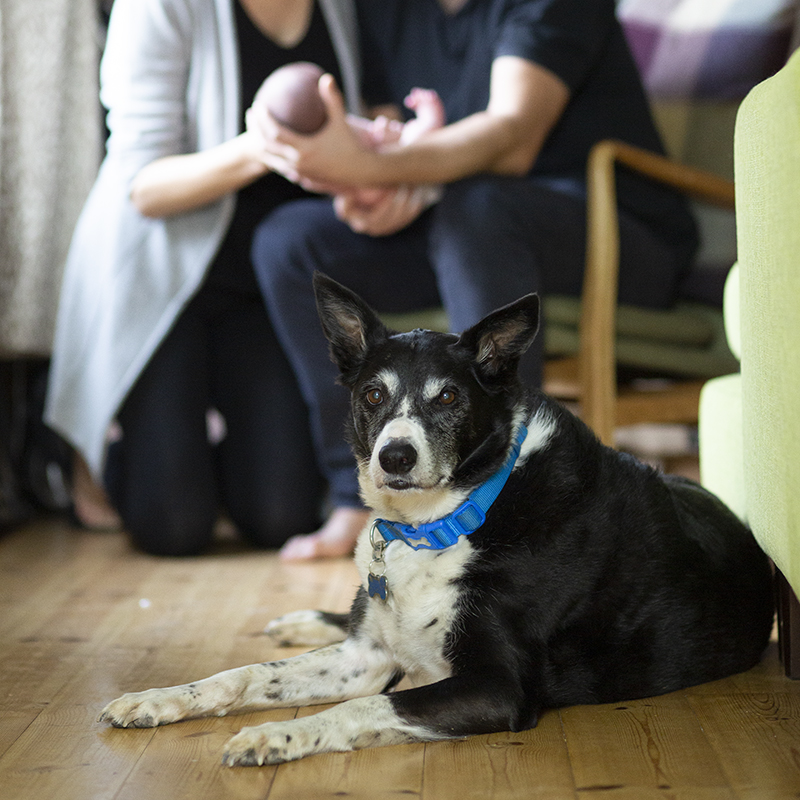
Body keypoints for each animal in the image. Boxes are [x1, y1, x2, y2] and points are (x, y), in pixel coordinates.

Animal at [100, 276, 776, 768]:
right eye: (372, 395)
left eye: (448, 397)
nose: (394, 457)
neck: (452, 518)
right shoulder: (367, 654)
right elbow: (242, 675)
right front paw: (158, 699)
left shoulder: (496, 688)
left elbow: (364, 710)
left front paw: (276, 737)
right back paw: (301, 621)